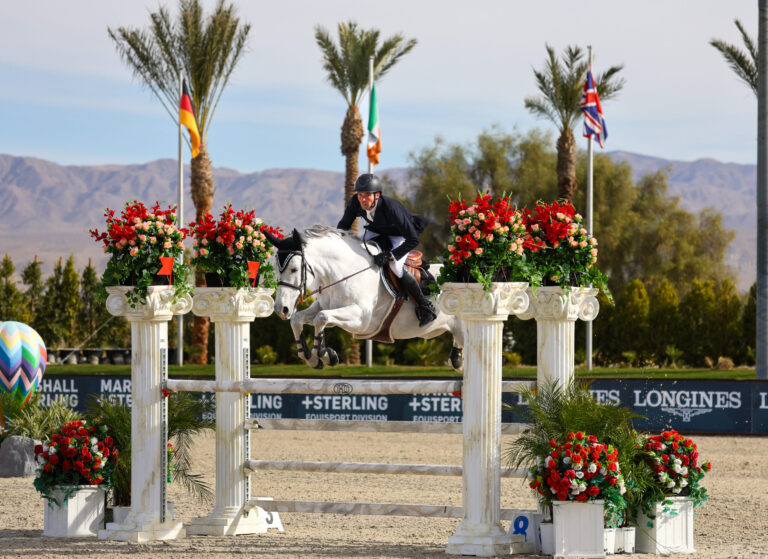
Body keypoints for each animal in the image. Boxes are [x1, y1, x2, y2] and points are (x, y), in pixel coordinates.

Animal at [264, 225, 462, 370]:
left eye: (294, 269)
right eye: (276, 270)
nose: (281, 309)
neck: (345, 273)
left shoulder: (361, 319)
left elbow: (322, 318)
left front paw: (325, 355)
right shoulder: (324, 306)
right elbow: (298, 319)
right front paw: (310, 357)